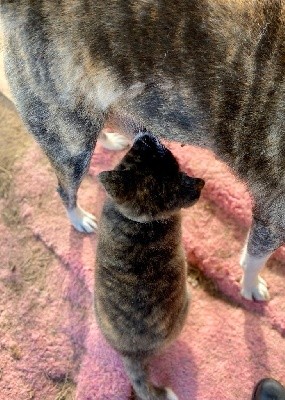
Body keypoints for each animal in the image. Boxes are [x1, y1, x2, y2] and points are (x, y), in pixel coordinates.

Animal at [1, 0, 282, 302]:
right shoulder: (273, 215)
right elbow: (255, 258)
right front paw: (250, 287)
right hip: (69, 142)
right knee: (66, 189)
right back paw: (79, 218)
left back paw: (109, 139)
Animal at [95, 132, 204, 400]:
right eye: (166, 155)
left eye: (131, 156)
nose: (147, 136)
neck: (142, 221)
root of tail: (132, 355)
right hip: (186, 304)